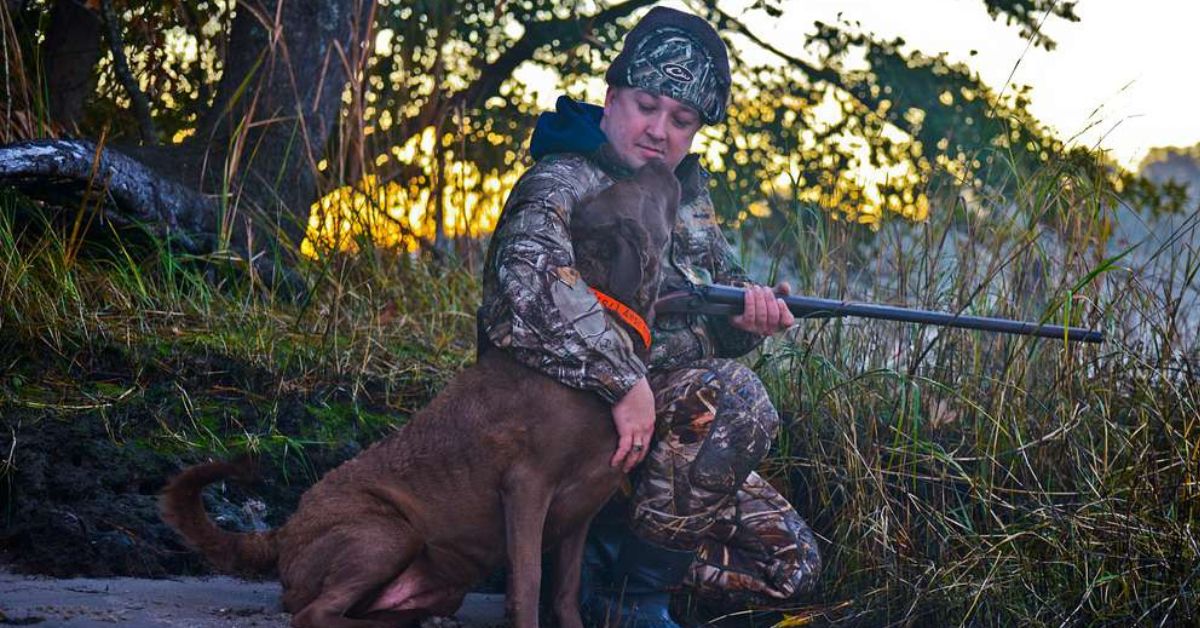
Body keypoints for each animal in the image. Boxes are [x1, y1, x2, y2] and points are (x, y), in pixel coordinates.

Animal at [160, 162, 681, 628]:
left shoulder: (580, 513)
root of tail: (286, 530)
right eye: (637, 186)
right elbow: (528, 584)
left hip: (434, 579)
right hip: (386, 533)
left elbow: (566, 593)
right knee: (313, 614)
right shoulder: (525, 488)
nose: (667, 164)